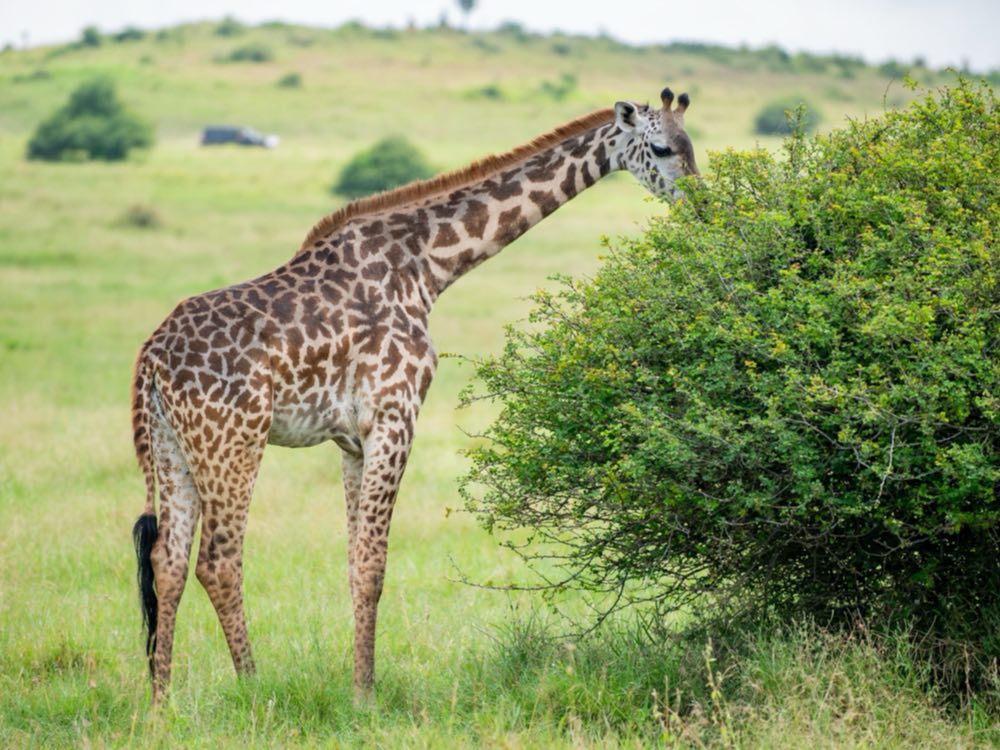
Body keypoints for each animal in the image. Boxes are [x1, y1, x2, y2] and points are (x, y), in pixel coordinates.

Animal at [131, 86, 698, 704]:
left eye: (693, 146)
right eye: (662, 148)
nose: (700, 204)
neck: (428, 266)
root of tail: (151, 358)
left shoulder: (351, 441)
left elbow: (353, 560)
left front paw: (358, 684)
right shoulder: (394, 415)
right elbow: (373, 566)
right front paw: (366, 696)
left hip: (173, 448)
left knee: (168, 561)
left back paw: (161, 703)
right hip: (234, 441)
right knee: (218, 561)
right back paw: (255, 688)